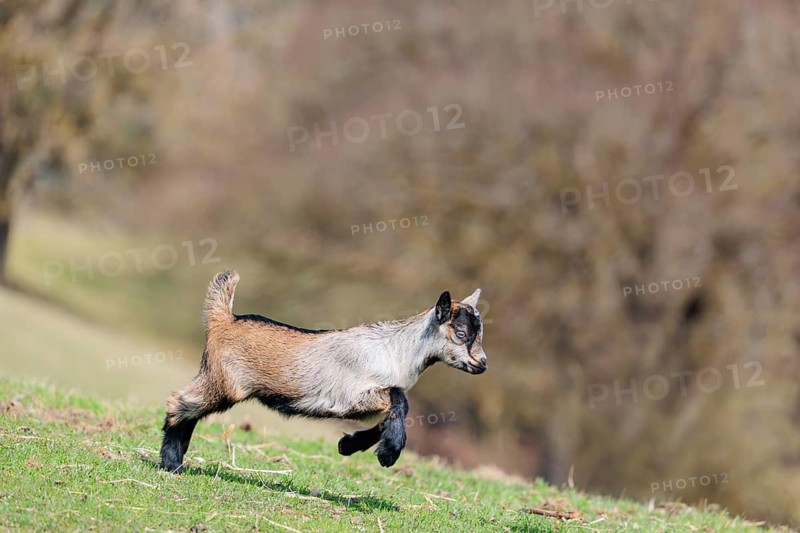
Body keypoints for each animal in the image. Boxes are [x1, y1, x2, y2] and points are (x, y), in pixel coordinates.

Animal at [160, 269, 487, 472]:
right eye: (461, 333)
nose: (482, 364)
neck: (397, 350)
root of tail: (225, 319)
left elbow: (390, 414)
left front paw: (348, 445)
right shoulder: (353, 395)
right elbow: (400, 400)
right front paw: (388, 453)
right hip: (225, 383)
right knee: (179, 403)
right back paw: (171, 463)